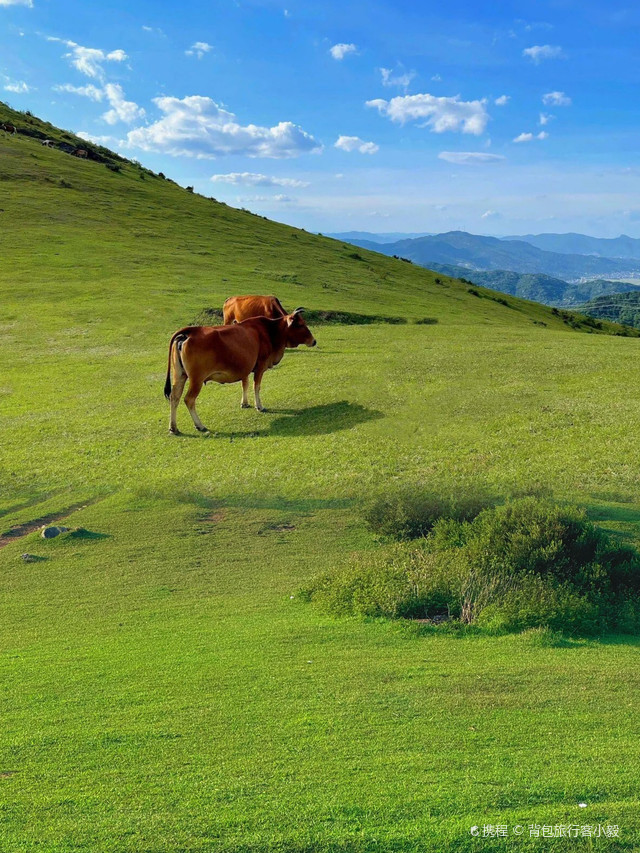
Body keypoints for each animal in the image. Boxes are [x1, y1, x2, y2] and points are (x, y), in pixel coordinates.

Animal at [164, 310, 316, 436]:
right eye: (300, 325)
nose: (314, 341)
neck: (270, 331)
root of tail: (191, 331)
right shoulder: (260, 365)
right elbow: (256, 386)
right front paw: (259, 406)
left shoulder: (245, 368)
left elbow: (245, 384)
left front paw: (245, 403)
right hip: (197, 379)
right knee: (188, 399)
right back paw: (199, 425)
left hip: (179, 375)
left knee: (174, 397)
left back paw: (173, 428)